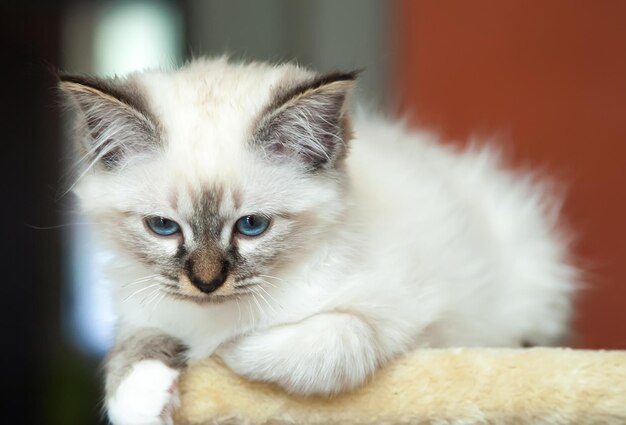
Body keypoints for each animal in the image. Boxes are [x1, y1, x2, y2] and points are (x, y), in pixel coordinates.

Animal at [59, 57, 576, 424]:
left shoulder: (398, 321)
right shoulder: (144, 306)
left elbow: (313, 346)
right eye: (164, 227)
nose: (206, 283)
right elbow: (134, 344)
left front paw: (226, 349)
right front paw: (140, 398)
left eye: (251, 226)